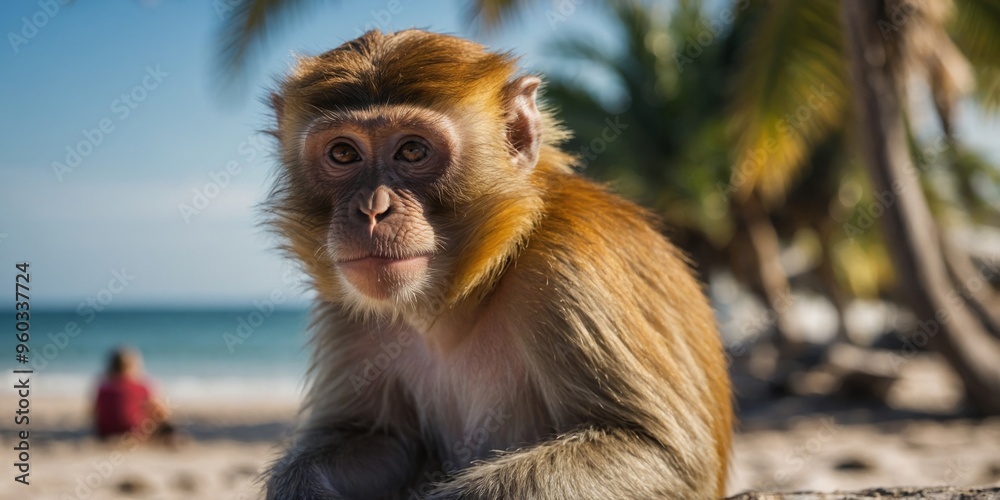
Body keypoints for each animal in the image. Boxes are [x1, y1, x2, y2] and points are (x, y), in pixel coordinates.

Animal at [263, 30, 732, 500]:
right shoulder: (347, 313)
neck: (470, 289)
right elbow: (377, 437)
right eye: (343, 154)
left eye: (412, 150)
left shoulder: (569, 271)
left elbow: (662, 453)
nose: (372, 210)